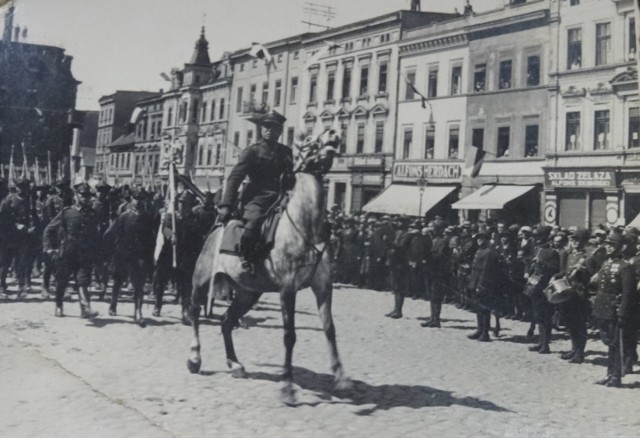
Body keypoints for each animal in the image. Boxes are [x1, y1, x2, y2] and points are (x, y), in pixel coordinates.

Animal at [188, 130, 352, 404]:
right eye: (308, 139)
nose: (334, 134)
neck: (305, 225)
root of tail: (218, 226)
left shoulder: (323, 285)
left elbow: (330, 329)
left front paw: (341, 379)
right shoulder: (288, 287)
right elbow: (289, 335)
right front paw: (288, 387)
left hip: (248, 292)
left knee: (226, 321)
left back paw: (235, 364)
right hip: (202, 280)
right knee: (194, 313)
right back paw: (194, 358)